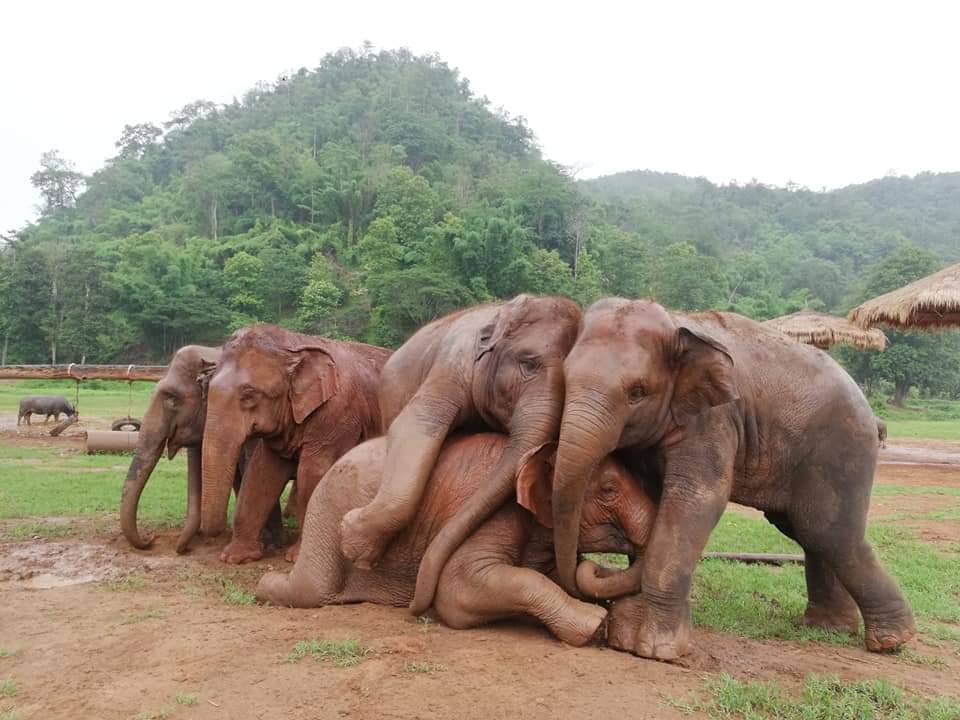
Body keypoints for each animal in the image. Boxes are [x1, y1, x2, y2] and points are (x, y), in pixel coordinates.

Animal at [200, 324, 390, 564]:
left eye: (249, 395)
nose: (212, 538)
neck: (296, 344)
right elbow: (260, 473)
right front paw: (235, 557)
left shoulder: (338, 415)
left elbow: (313, 473)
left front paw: (296, 558)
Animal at [256, 432, 657, 646]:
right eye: (609, 490)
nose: (596, 567)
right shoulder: (489, 512)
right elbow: (456, 590)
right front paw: (596, 625)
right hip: (329, 510)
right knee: (311, 591)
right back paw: (265, 586)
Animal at [552, 298, 915, 660]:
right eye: (564, 379)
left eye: (638, 392)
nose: (590, 566)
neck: (675, 322)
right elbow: (652, 501)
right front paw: (630, 638)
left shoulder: (715, 419)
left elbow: (695, 501)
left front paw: (656, 649)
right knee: (805, 530)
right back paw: (828, 628)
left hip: (841, 449)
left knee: (827, 530)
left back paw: (892, 640)